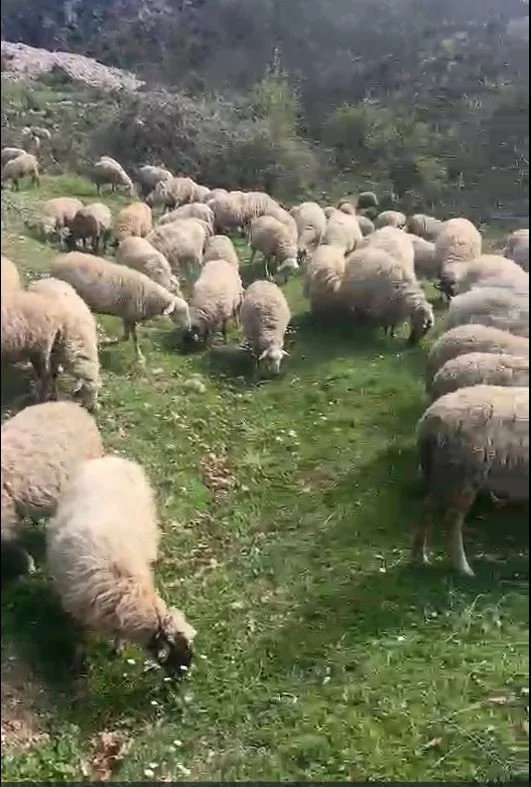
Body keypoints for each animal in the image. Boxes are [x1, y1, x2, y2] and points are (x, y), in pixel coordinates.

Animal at [46, 456, 196, 672]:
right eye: (179, 646)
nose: (186, 673)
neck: (125, 587)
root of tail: (114, 459)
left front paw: (118, 647)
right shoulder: (78, 609)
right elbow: (80, 638)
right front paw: (78, 661)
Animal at [51, 252, 191, 363]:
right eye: (180, 313)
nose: (189, 328)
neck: (151, 296)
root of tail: (57, 261)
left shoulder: (128, 316)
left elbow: (128, 337)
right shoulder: (130, 316)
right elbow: (130, 338)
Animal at [412, 385, 529, 576]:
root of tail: (429, 419)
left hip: (444, 473)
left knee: (427, 509)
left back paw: (419, 557)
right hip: (465, 473)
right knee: (452, 520)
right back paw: (463, 568)